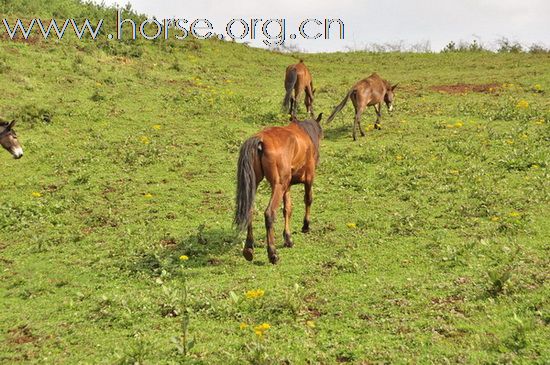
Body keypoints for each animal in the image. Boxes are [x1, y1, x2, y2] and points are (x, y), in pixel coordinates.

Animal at [236, 112, 324, 264]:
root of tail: (260, 140)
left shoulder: (287, 186)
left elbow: (287, 209)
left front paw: (288, 238)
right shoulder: (309, 178)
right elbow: (308, 199)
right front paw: (305, 226)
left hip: (258, 183)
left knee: (250, 210)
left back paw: (248, 248)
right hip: (278, 185)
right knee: (269, 213)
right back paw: (272, 253)